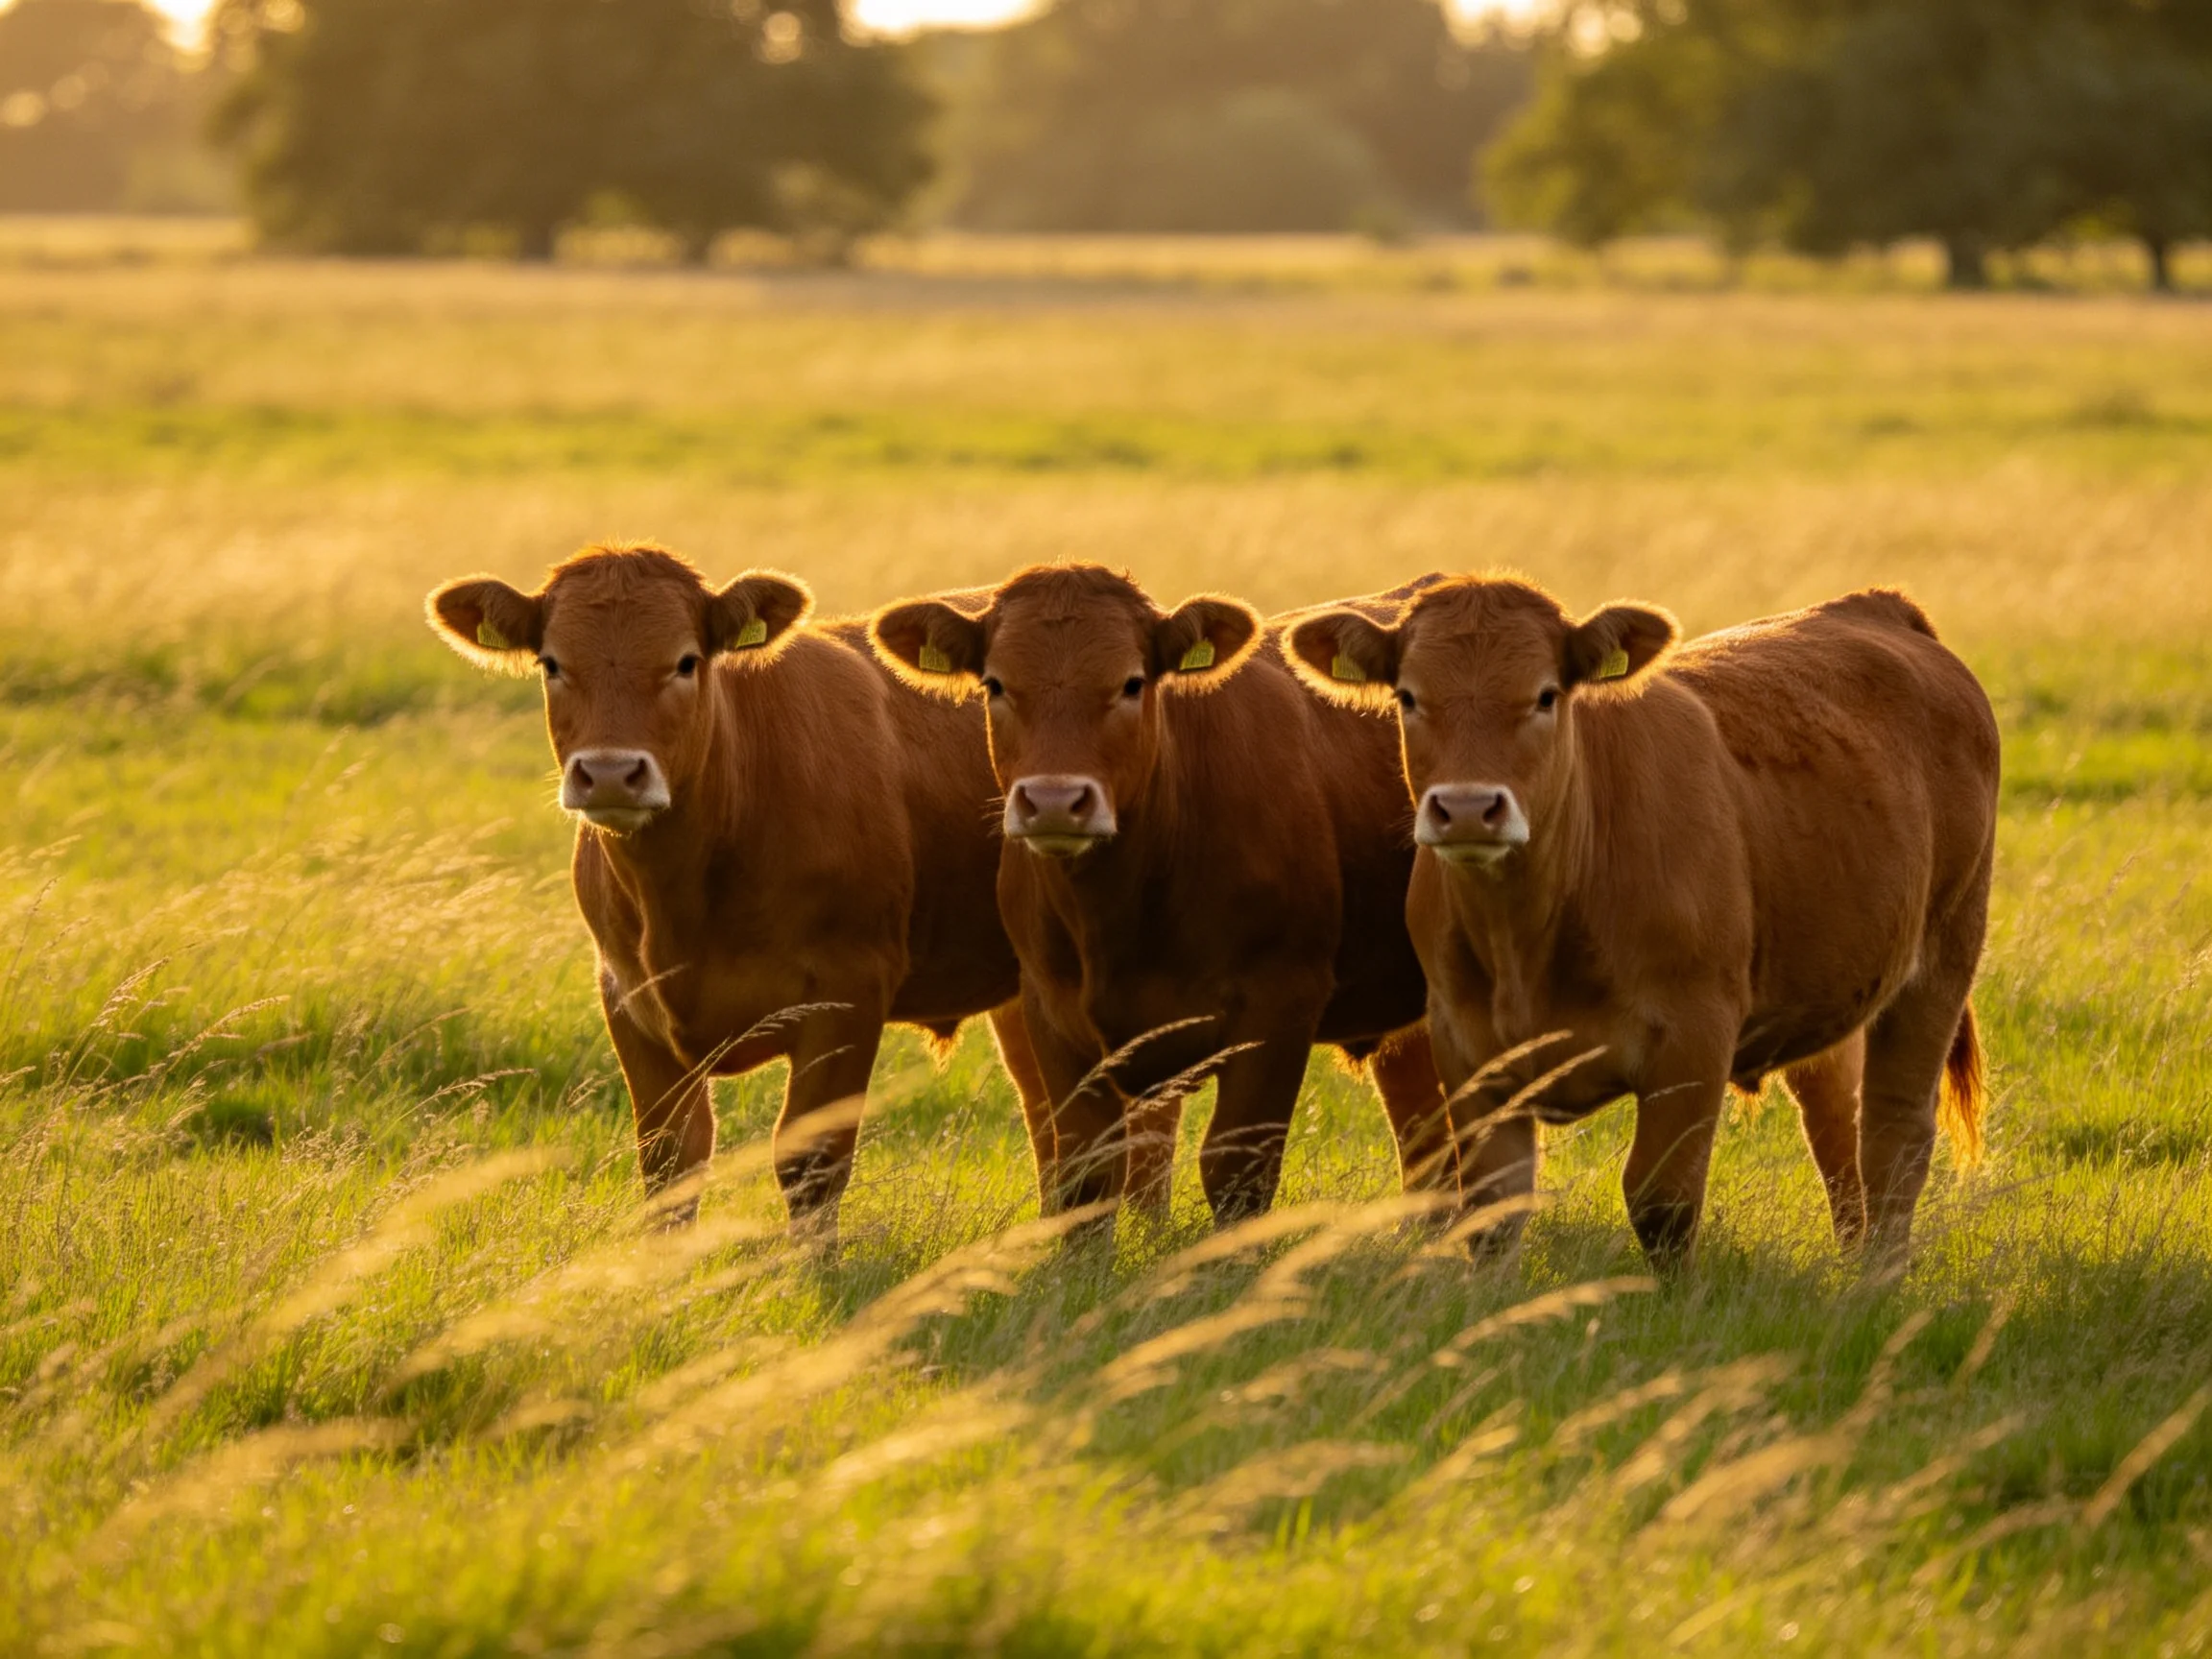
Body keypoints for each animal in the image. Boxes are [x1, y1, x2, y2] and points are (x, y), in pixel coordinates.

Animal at [427, 543, 1048, 1244]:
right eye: (552, 663)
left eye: (685, 661)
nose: (611, 773)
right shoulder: (627, 1000)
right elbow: (672, 1165)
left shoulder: (849, 995)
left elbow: (811, 1164)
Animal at [868, 564, 1449, 1236]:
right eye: (995, 684)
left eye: (1131, 683)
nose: (1054, 801)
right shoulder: (1050, 1011)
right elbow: (1086, 1174)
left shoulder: (1281, 1005)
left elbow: (1236, 1171)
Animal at [1284, 578, 1998, 1272]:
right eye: (1408, 696)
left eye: (1545, 695)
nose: (1466, 808)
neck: (1530, 939)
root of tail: (1874, 607)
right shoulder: (1466, 1048)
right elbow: (1491, 1210)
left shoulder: (1694, 1037)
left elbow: (1662, 1202)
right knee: (1835, 1119)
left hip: (1943, 957)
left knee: (1895, 1135)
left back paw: (1877, 1281)